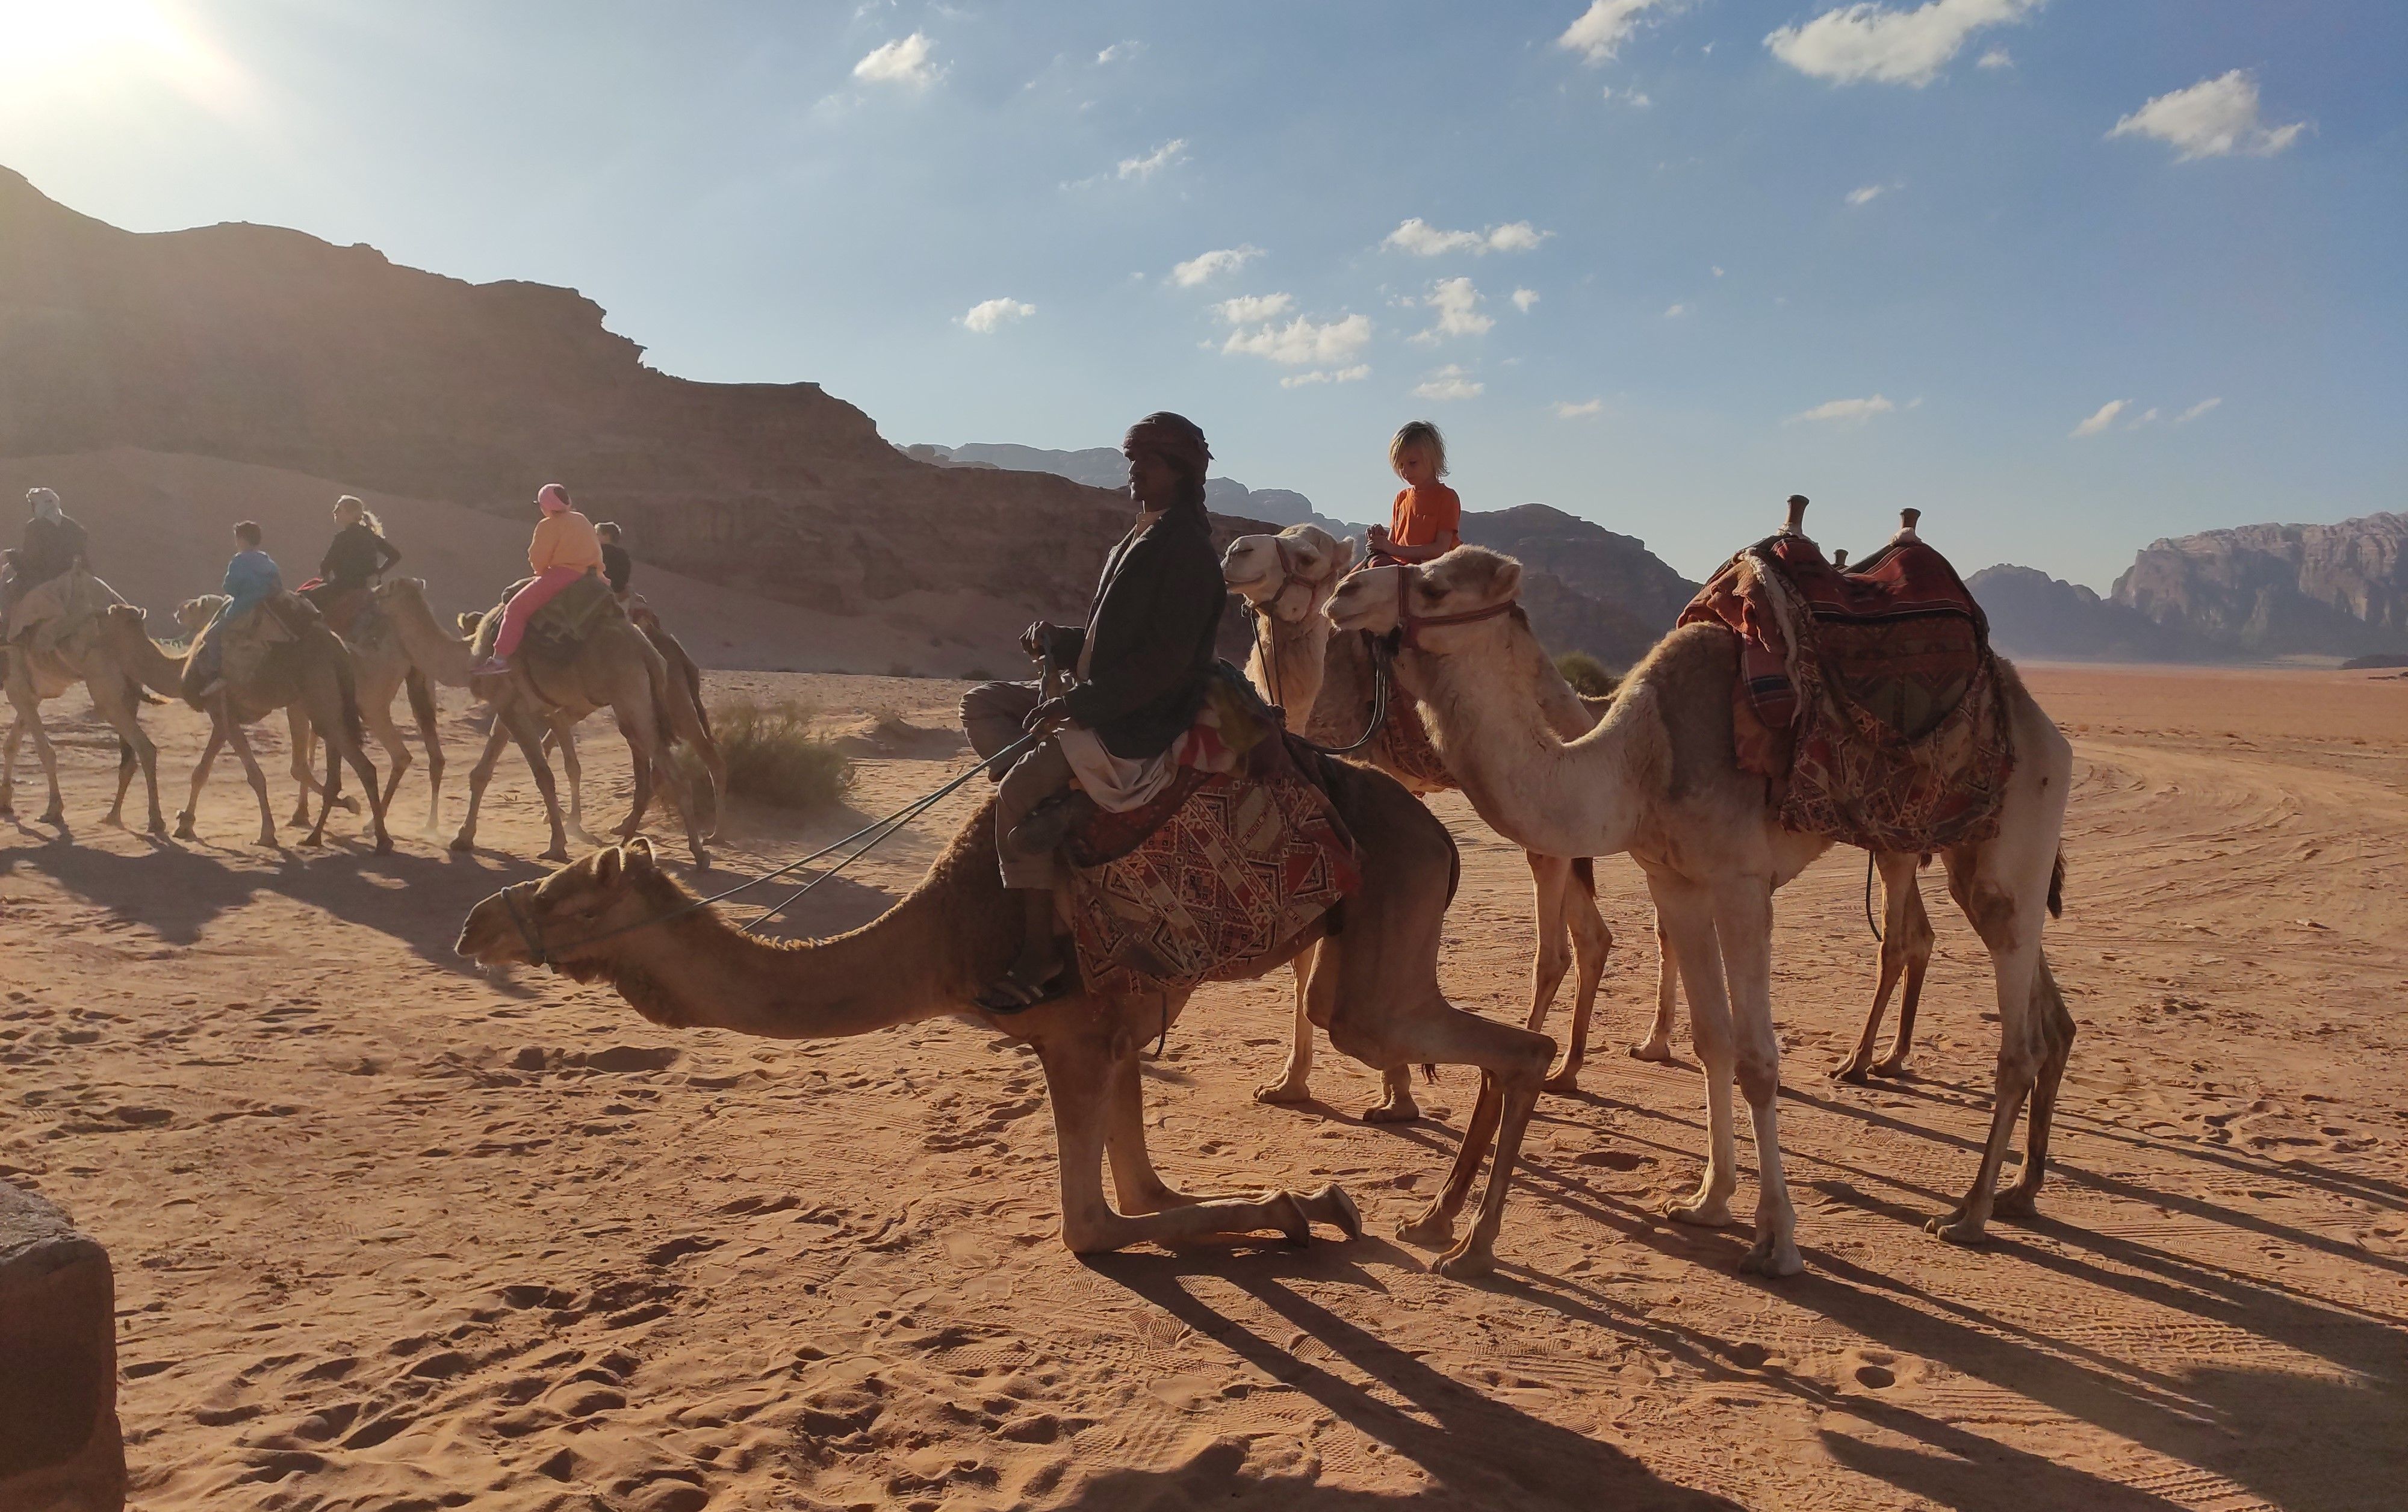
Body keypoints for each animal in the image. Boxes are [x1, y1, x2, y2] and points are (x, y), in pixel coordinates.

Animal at [0, 590, 185, 833]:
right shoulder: (29, 692)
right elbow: (12, 745)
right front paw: (6, 803)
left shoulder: (19, 688)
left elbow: (44, 750)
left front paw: (53, 811)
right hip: (125, 693)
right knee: (133, 755)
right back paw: (115, 815)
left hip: (106, 692)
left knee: (144, 747)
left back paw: (154, 820)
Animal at [170, 595, 388, 852]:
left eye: (193, 606)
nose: (178, 611)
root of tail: (338, 647)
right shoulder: (225, 715)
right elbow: (201, 771)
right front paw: (184, 825)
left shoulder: (221, 711)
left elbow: (255, 776)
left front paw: (266, 835)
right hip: (326, 706)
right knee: (342, 770)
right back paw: (330, 835)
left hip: (321, 706)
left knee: (360, 766)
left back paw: (377, 840)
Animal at [460, 751, 1570, 1281]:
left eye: (573, 896)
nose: (477, 923)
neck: (948, 938)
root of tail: (1448, 836)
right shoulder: (1115, 1031)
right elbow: (1148, 1188)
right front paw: (1304, 1204)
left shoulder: (1075, 1033)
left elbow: (1094, 1224)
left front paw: (1315, 1206)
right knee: (1484, 1046)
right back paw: (1438, 1218)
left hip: (1382, 935)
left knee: (1510, 1044)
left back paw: (1468, 1246)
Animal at [1233, 525, 1647, 1117]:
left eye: (1308, 556)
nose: (1236, 552)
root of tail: (1582, 704)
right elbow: (1302, 950)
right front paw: (1289, 1083)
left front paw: (1397, 1092)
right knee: (1595, 937)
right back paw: (1571, 1070)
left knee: (1561, 949)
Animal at [1329, 544, 2081, 1271]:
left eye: (1433, 587)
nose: (1344, 593)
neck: (1640, 759)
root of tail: (2046, 725)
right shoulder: (1675, 880)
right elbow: (1710, 1041)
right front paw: (1708, 1200)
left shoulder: (1740, 881)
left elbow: (1757, 1059)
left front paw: (1776, 1240)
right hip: (1964, 851)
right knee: (2038, 1005)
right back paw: (2018, 1191)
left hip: (2012, 833)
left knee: (2015, 1038)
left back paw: (1969, 1212)